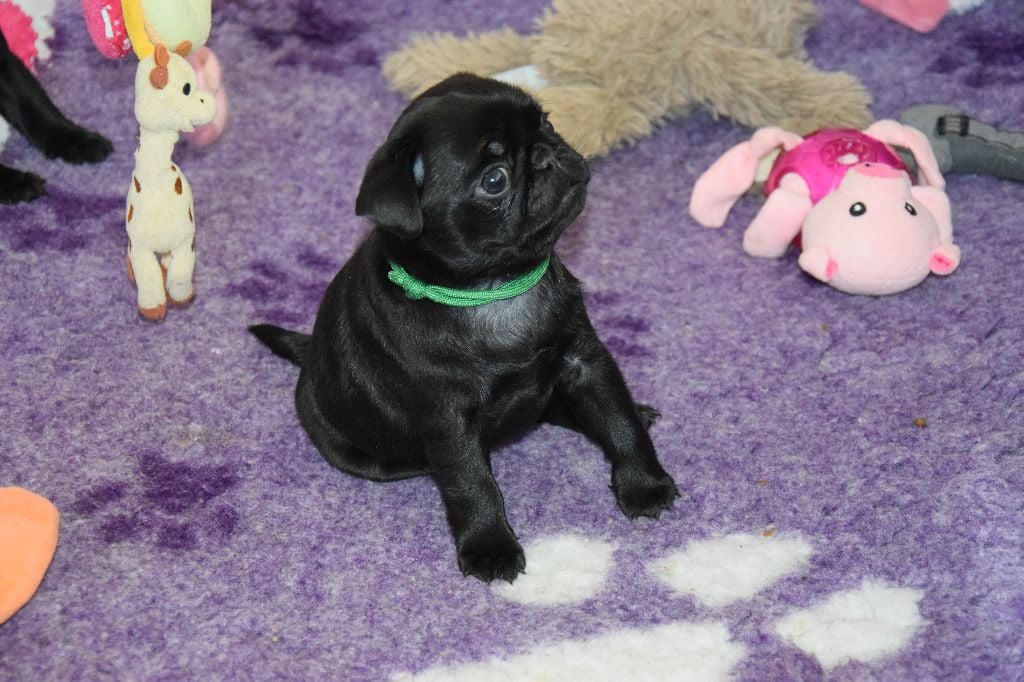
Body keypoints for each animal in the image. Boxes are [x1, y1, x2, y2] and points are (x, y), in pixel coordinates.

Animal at [250, 73, 678, 583]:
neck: (497, 288)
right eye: (495, 180)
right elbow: (470, 482)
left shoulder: (586, 363)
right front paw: (489, 547)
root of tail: (310, 359)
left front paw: (644, 483)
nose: (547, 152)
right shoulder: (448, 419)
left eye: (548, 122)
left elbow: (618, 423)